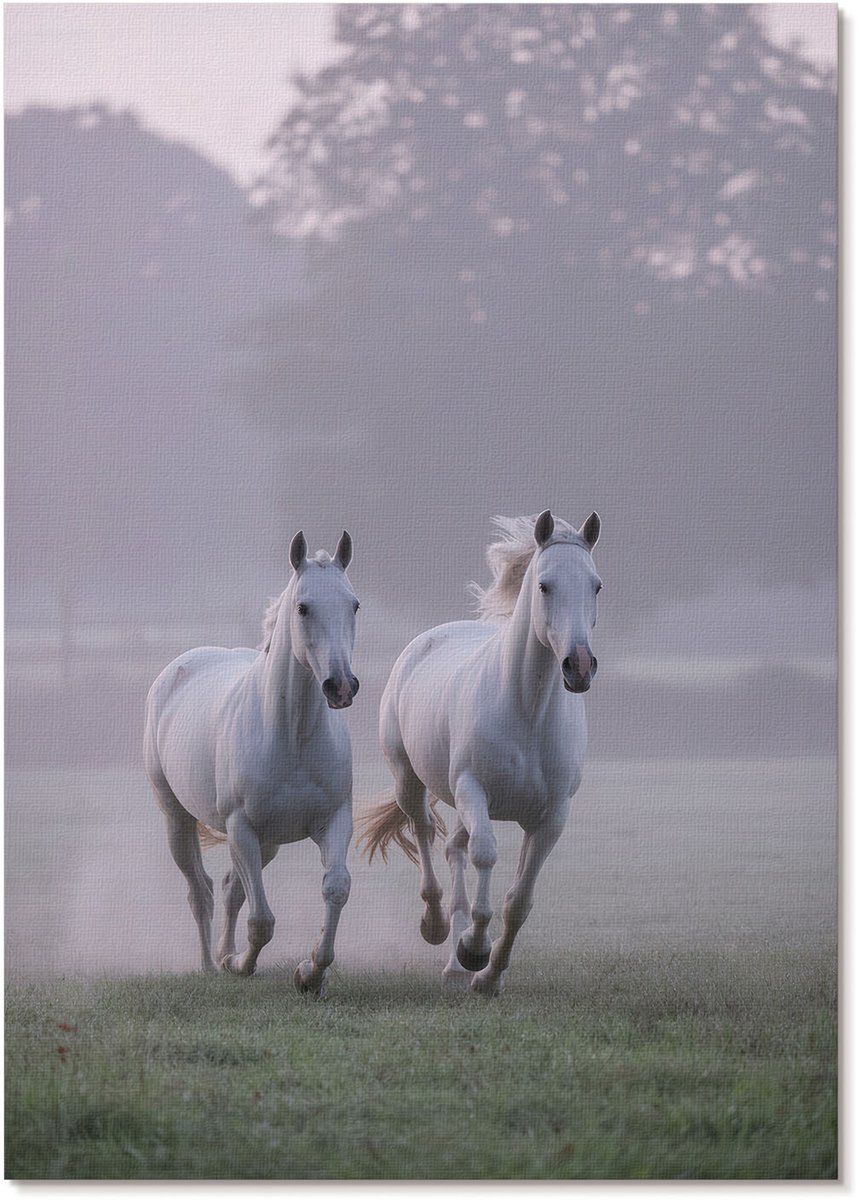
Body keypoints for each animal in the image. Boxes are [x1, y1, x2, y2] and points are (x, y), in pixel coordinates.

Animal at [144, 530, 360, 994]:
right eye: (303, 607)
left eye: (353, 604)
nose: (340, 686)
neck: (291, 738)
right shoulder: (241, 829)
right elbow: (262, 920)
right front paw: (239, 965)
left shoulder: (334, 822)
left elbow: (336, 888)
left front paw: (311, 973)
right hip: (178, 821)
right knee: (202, 892)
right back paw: (212, 964)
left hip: (271, 842)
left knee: (229, 888)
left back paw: (224, 954)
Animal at [359, 510, 601, 995]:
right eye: (544, 585)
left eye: (596, 585)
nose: (580, 666)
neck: (527, 711)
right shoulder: (474, 791)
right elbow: (485, 856)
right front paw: (474, 948)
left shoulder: (552, 816)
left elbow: (519, 899)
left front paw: (489, 976)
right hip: (410, 780)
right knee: (427, 834)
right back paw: (439, 930)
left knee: (454, 849)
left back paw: (455, 967)